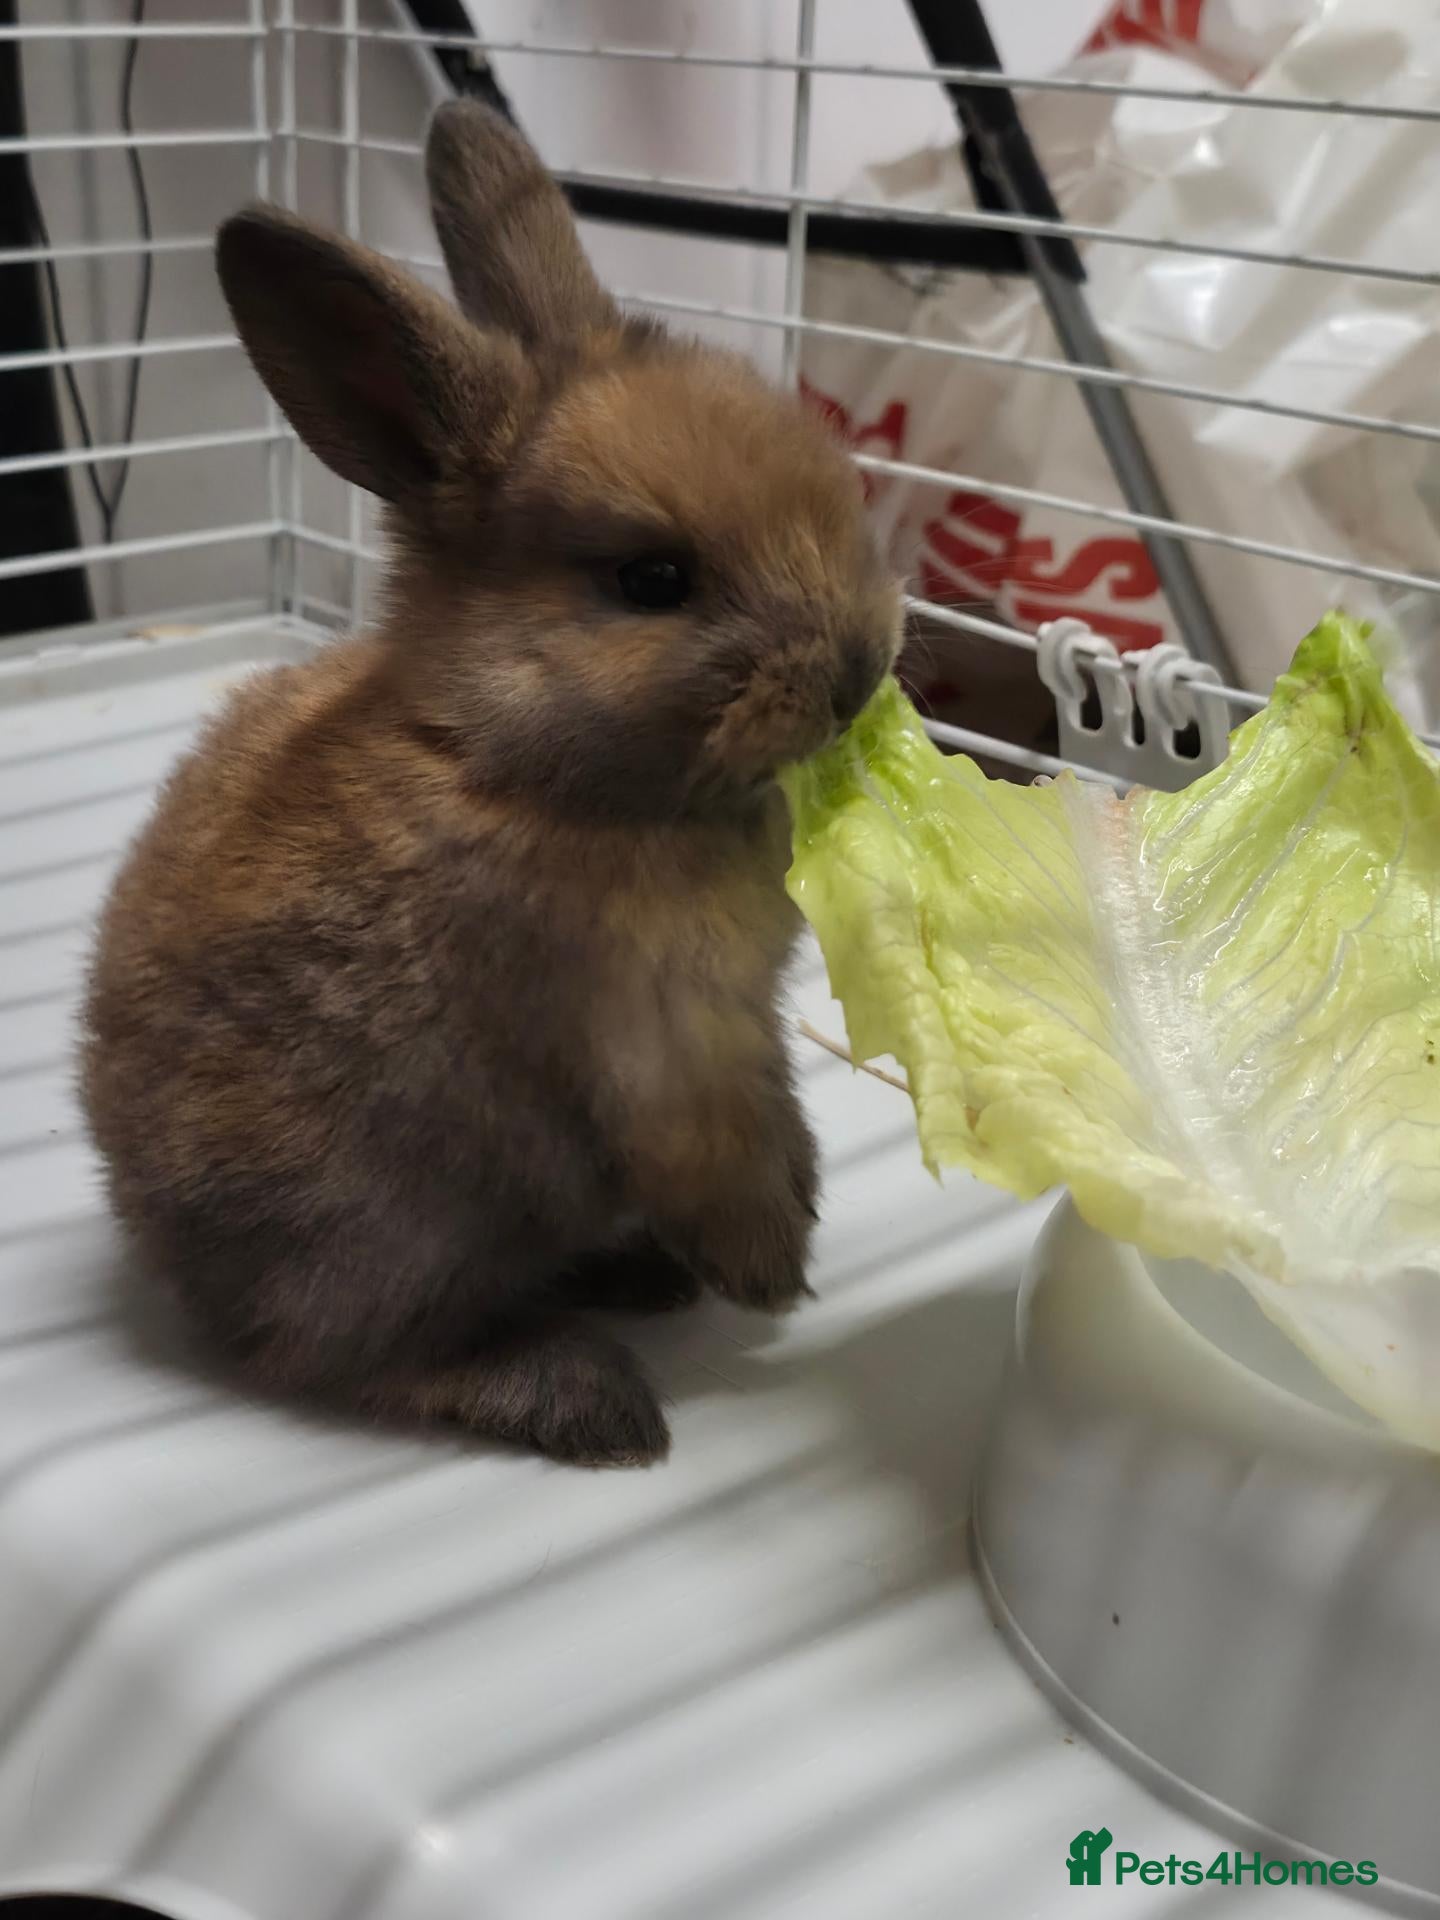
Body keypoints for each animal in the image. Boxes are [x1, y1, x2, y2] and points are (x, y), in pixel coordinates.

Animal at [80, 102, 903, 1468]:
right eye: (652, 580)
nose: (857, 672)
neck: (518, 760)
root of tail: (171, 1260)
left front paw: (766, 1265)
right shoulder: (666, 1047)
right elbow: (730, 1151)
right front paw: (774, 1273)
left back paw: (638, 1281)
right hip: (393, 1235)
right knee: (351, 1361)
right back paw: (591, 1400)